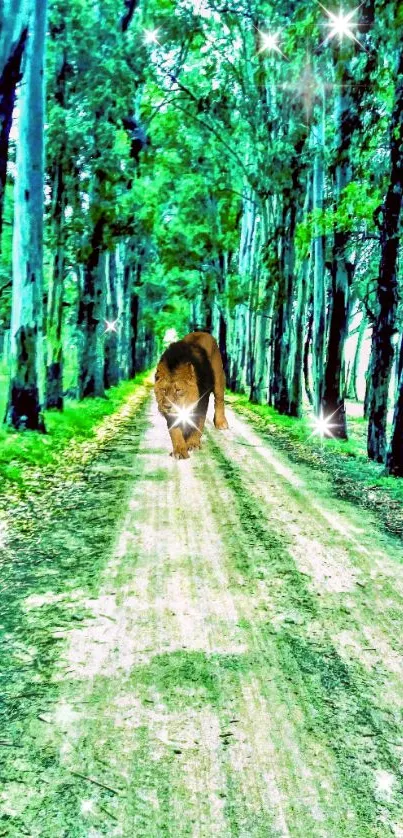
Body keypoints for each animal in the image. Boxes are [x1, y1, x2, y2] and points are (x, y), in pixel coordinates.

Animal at [155, 332, 230, 460]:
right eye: (163, 390)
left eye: (178, 390)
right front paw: (180, 450)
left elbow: (198, 423)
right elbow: (175, 430)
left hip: (218, 378)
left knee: (219, 401)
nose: (166, 406)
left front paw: (193, 443)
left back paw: (221, 422)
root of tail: (203, 332)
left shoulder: (202, 401)